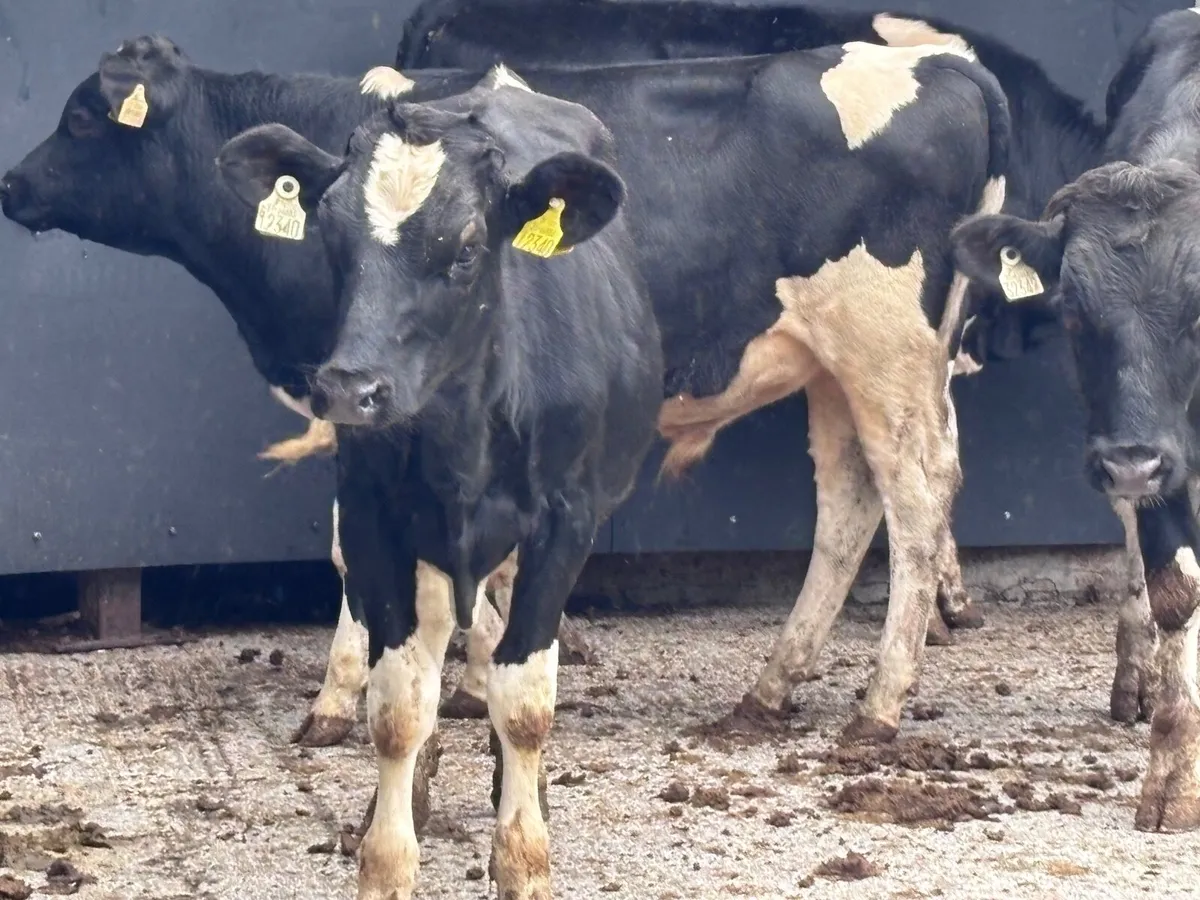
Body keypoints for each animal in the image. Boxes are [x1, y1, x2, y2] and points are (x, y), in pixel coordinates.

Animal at [391, 0, 1171, 729]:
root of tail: (948, 70)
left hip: (880, 348)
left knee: (912, 493)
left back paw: (875, 699)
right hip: (850, 359)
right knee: (864, 497)